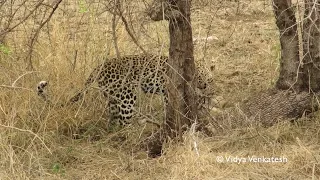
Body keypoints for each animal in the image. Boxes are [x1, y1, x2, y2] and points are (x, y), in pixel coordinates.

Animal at [37, 54, 214, 126]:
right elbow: (169, 105)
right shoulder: (167, 90)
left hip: (113, 97)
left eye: (209, 79)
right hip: (127, 97)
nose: (207, 86)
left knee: (113, 120)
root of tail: (100, 67)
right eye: (201, 77)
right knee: (123, 121)